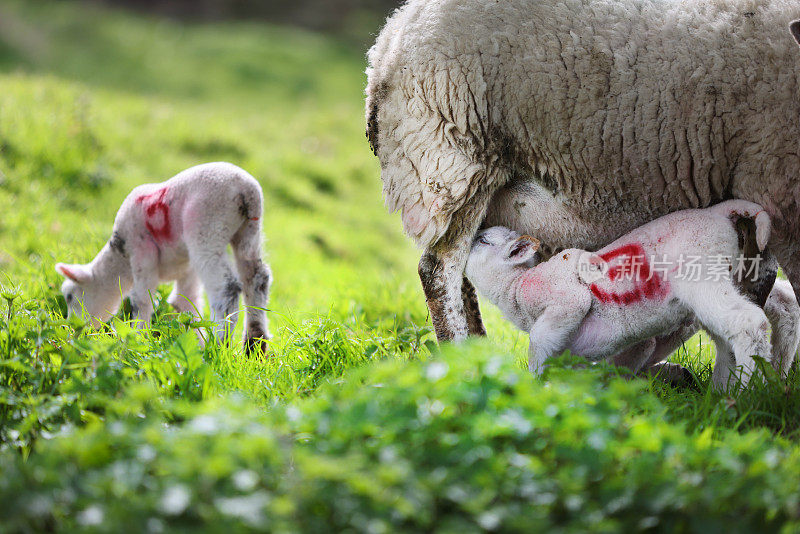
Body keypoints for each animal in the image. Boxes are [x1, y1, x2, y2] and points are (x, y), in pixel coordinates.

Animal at [56, 163, 274, 356]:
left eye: (69, 296)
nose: (73, 331)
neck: (120, 260)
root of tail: (247, 191)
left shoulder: (141, 250)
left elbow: (142, 299)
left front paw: (135, 342)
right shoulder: (187, 266)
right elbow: (184, 302)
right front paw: (195, 344)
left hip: (207, 228)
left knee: (226, 287)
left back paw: (219, 344)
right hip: (248, 232)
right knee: (257, 279)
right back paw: (254, 347)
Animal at [462, 200, 788, 390]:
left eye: (482, 240)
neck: (515, 286)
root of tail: (716, 212)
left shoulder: (565, 298)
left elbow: (539, 345)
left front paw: (535, 387)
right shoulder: (627, 347)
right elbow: (620, 363)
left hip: (700, 274)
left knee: (749, 323)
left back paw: (746, 392)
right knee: (729, 340)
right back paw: (723, 393)